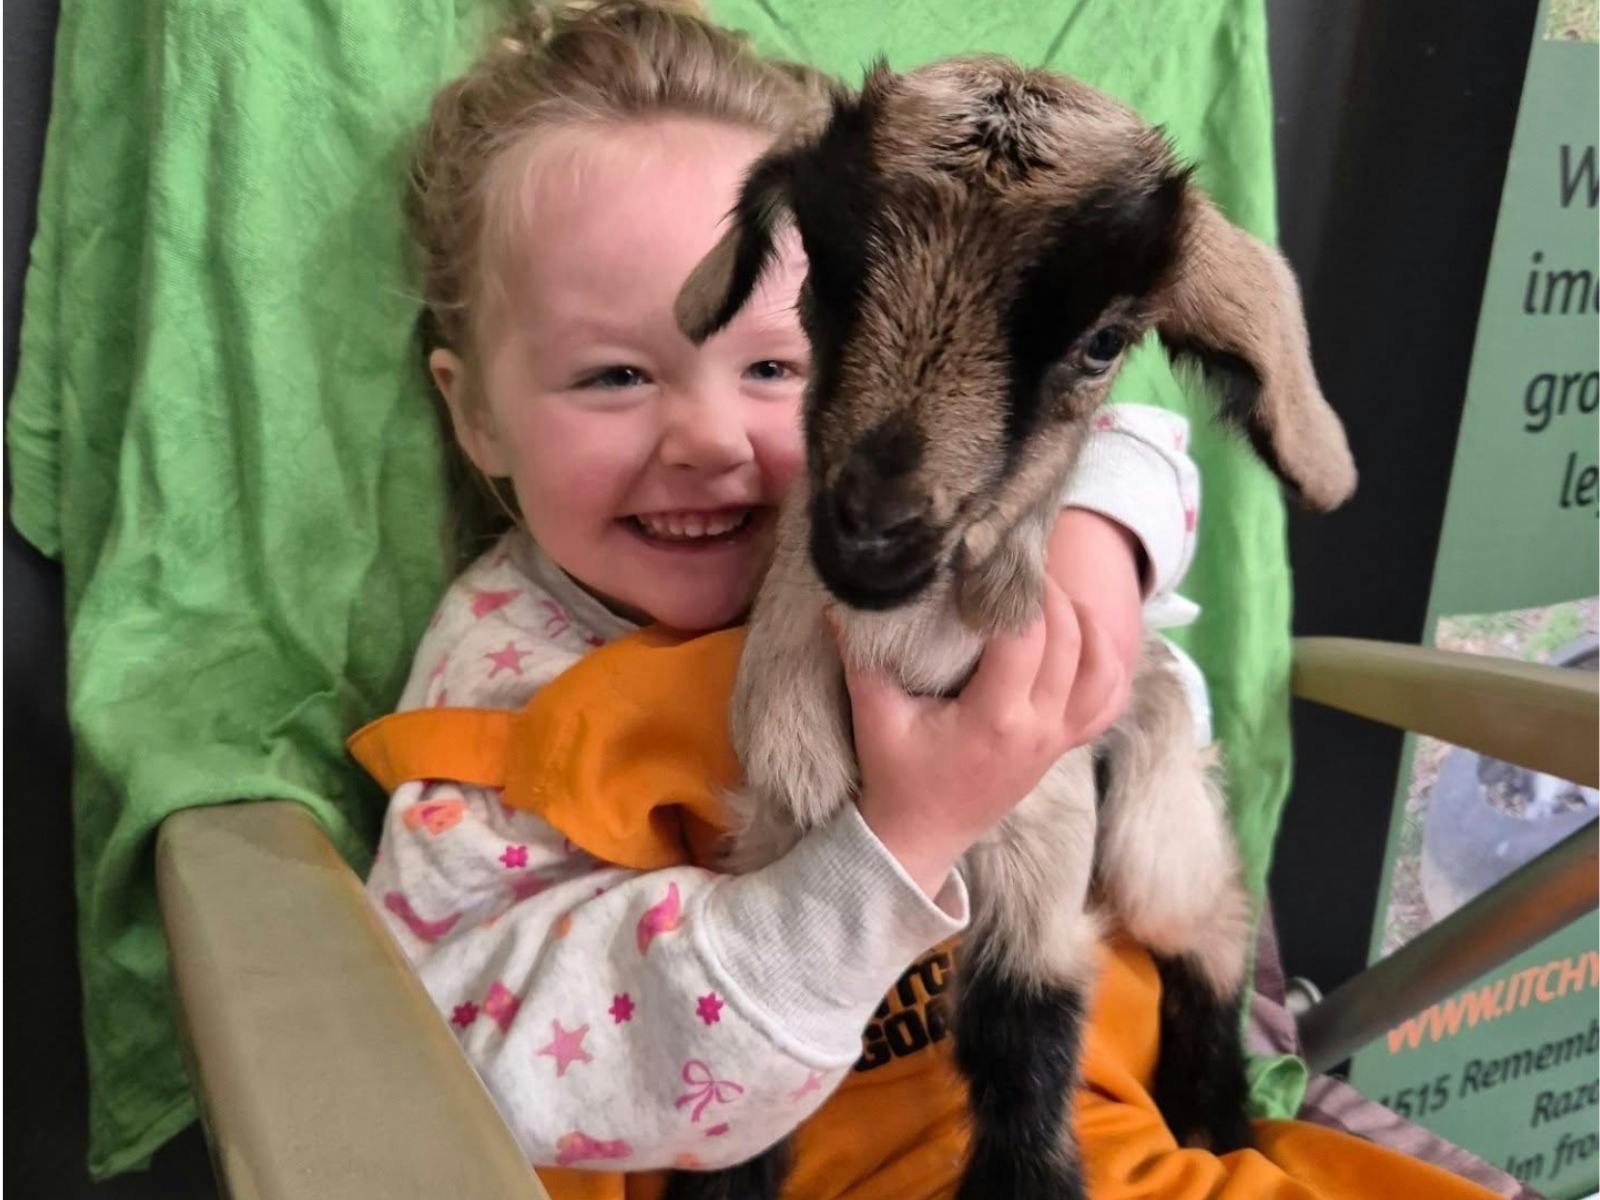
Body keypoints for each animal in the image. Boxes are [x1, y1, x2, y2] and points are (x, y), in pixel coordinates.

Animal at [664, 55, 1356, 1200]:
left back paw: (1217, 1113)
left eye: (1103, 342)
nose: (872, 530)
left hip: (1150, 811)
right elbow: (748, 1104)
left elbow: (1020, 1049)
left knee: (1210, 916)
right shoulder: (776, 821)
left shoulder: (1045, 836)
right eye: (823, 275)